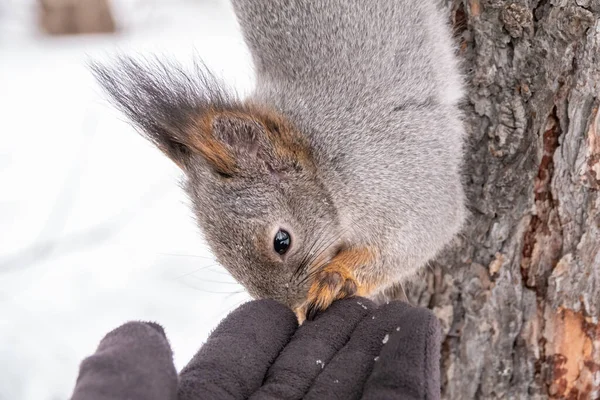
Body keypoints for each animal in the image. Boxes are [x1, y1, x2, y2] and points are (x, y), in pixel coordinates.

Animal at [91, 0, 466, 322]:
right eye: (221, 259)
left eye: (281, 241)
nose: (291, 305)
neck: (320, 160)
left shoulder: (402, 174)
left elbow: (418, 236)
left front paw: (336, 278)